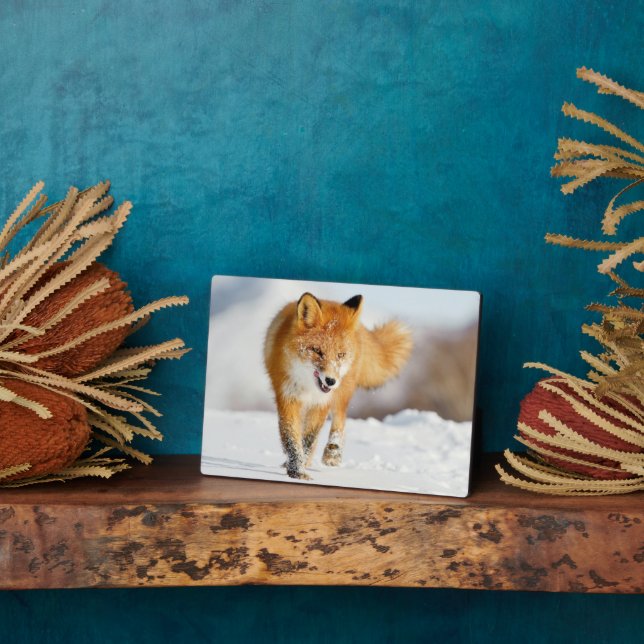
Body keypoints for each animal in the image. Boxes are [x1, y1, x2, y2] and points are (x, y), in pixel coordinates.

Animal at [264, 291, 413, 480]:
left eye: (340, 355)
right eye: (317, 351)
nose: (330, 381)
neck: (308, 387)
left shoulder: (322, 403)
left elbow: (309, 438)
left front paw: (299, 469)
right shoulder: (288, 397)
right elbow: (292, 438)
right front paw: (297, 470)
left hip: (343, 391)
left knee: (340, 419)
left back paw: (333, 453)